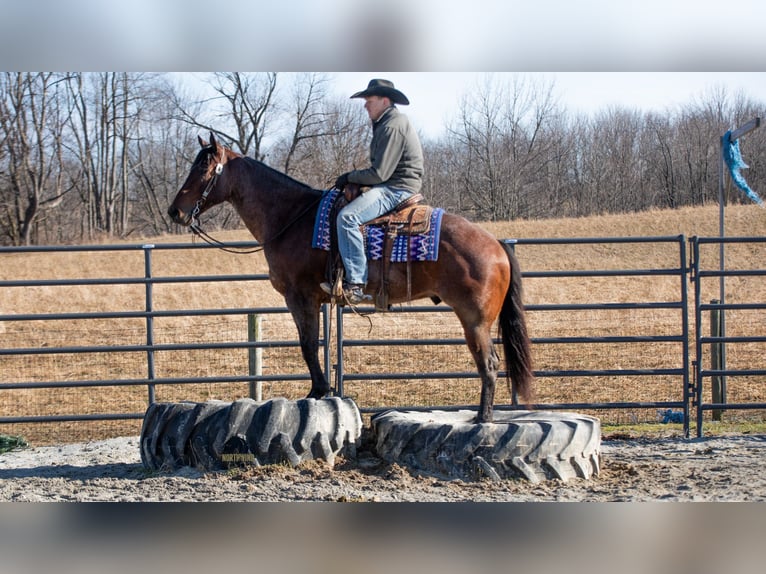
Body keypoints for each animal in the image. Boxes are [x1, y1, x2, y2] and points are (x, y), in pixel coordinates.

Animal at [168, 133, 534, 423]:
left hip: (475, 320)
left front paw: (317, 391)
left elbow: (307, 345)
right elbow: (315, 344)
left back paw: (482, 418)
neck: (291, 216)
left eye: (203, 169)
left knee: (489, 363)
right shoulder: (316, 300)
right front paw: (322, 389)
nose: (175, 211)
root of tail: (496, 244)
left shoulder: (300, 296)